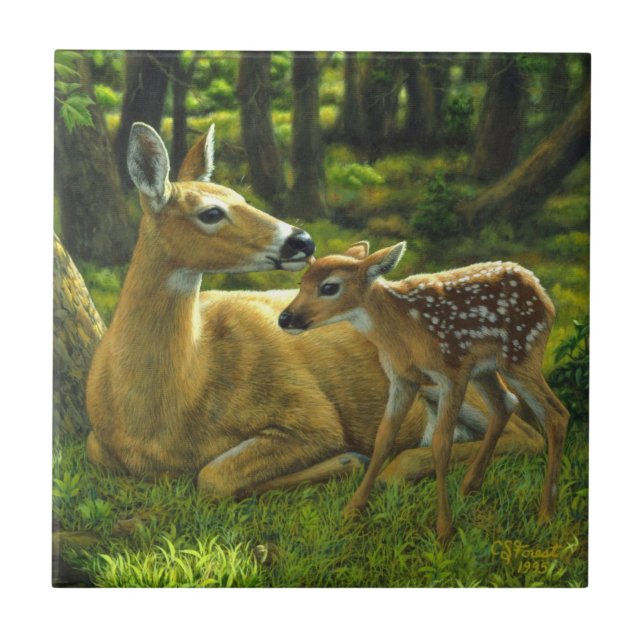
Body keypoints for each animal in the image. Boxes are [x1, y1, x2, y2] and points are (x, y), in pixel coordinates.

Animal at [86, 123, 545, 506]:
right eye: (211, 212)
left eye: (243, 197)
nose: (302, 241)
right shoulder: (97, 444)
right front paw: (347, 462)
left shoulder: (310, 415)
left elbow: (213, 477)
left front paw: (347, 461)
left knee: (525, 432)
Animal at [278, 241, 569, 542]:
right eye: (301, 282)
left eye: (329, 287)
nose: (285, 318)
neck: (402, 332)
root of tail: (540, 290)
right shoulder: (402, 378)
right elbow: (384, 438)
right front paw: (352, 510)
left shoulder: (451, 373)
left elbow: (441, 444)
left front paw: (443, 530)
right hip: (485, 368)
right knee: (505, 404)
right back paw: (469, 487)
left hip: (521, 353)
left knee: (556, 414)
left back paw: (546, 513)